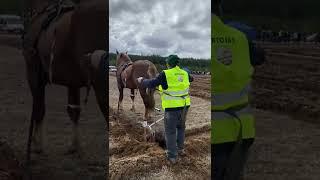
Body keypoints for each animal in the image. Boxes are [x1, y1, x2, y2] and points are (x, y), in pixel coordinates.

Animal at [22, 0, 107, 162]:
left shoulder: (33, 74)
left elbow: (39, 108)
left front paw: (38, 144)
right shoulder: (72, 83)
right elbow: (73, 111)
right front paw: (75, 146)